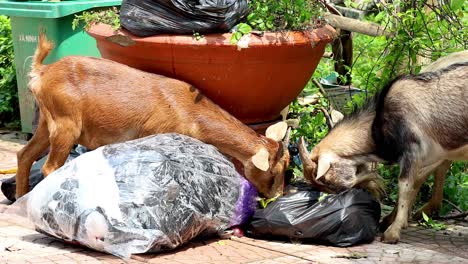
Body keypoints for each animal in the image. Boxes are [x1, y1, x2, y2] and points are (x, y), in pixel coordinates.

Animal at [16, 32, 290, 198]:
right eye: (274, 172)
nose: (277, 196)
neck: (189, 111)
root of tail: (41, 72)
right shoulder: (156, 135)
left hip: (46, 122)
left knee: (24, 155)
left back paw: (21, 199)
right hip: (65, 123)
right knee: (50, 167)